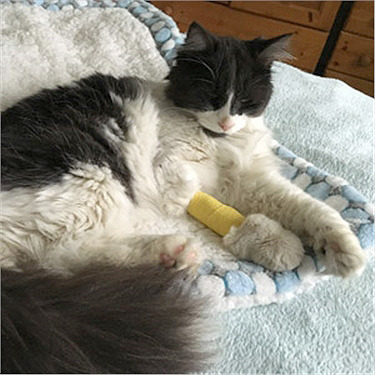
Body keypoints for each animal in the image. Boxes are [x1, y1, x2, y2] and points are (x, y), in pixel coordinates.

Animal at [1, 22, 366, 374]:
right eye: (211, 96)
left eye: (244, 102)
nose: (226, 122)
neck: (218, 141)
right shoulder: (179, 160)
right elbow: (179, 175)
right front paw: (180, 198)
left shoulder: (250, 182)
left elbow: (312, 209)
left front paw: (345, 252)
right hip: (92, 178)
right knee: (60, 256)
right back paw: (173, 251)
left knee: (68, 257)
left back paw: (173, 257)